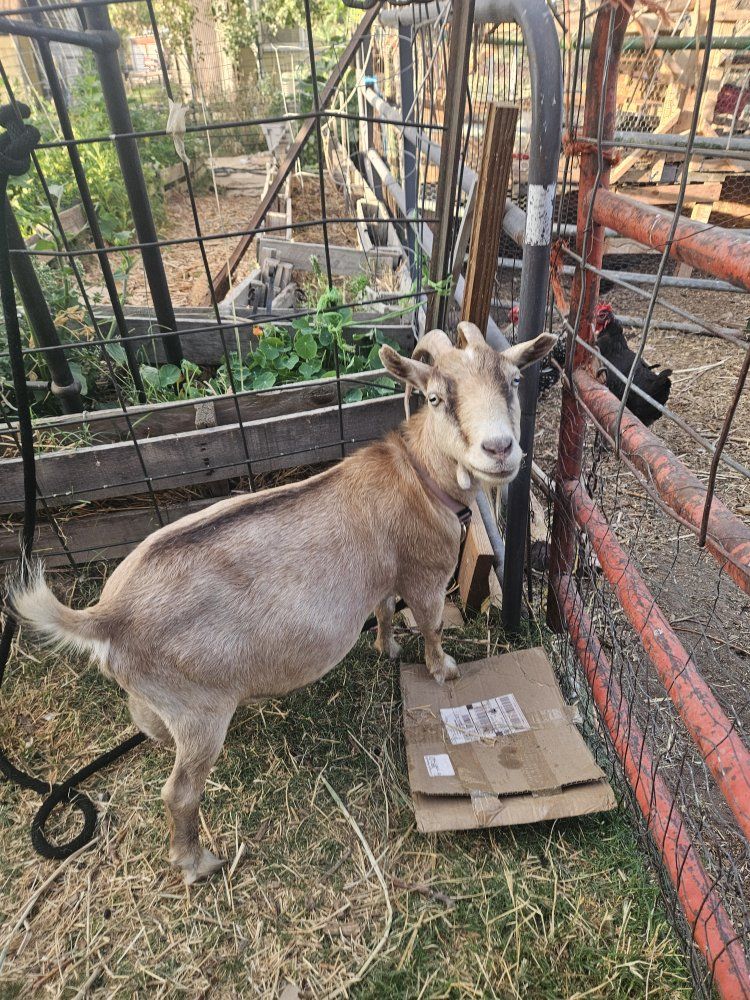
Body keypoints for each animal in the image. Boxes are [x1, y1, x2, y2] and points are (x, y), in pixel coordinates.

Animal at [9, 322, 555, 883]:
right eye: (435, 397)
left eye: (515, 380)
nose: (500, 448)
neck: (418, 475)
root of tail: (107, 618)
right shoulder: (425, 570)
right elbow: (429, 623)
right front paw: (443, 668)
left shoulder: (385, 573)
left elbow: (383, 608)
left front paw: (387, 648)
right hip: (201, 712)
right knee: (179, 793)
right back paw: (197, 863)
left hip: (162, 697)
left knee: (146, 722)